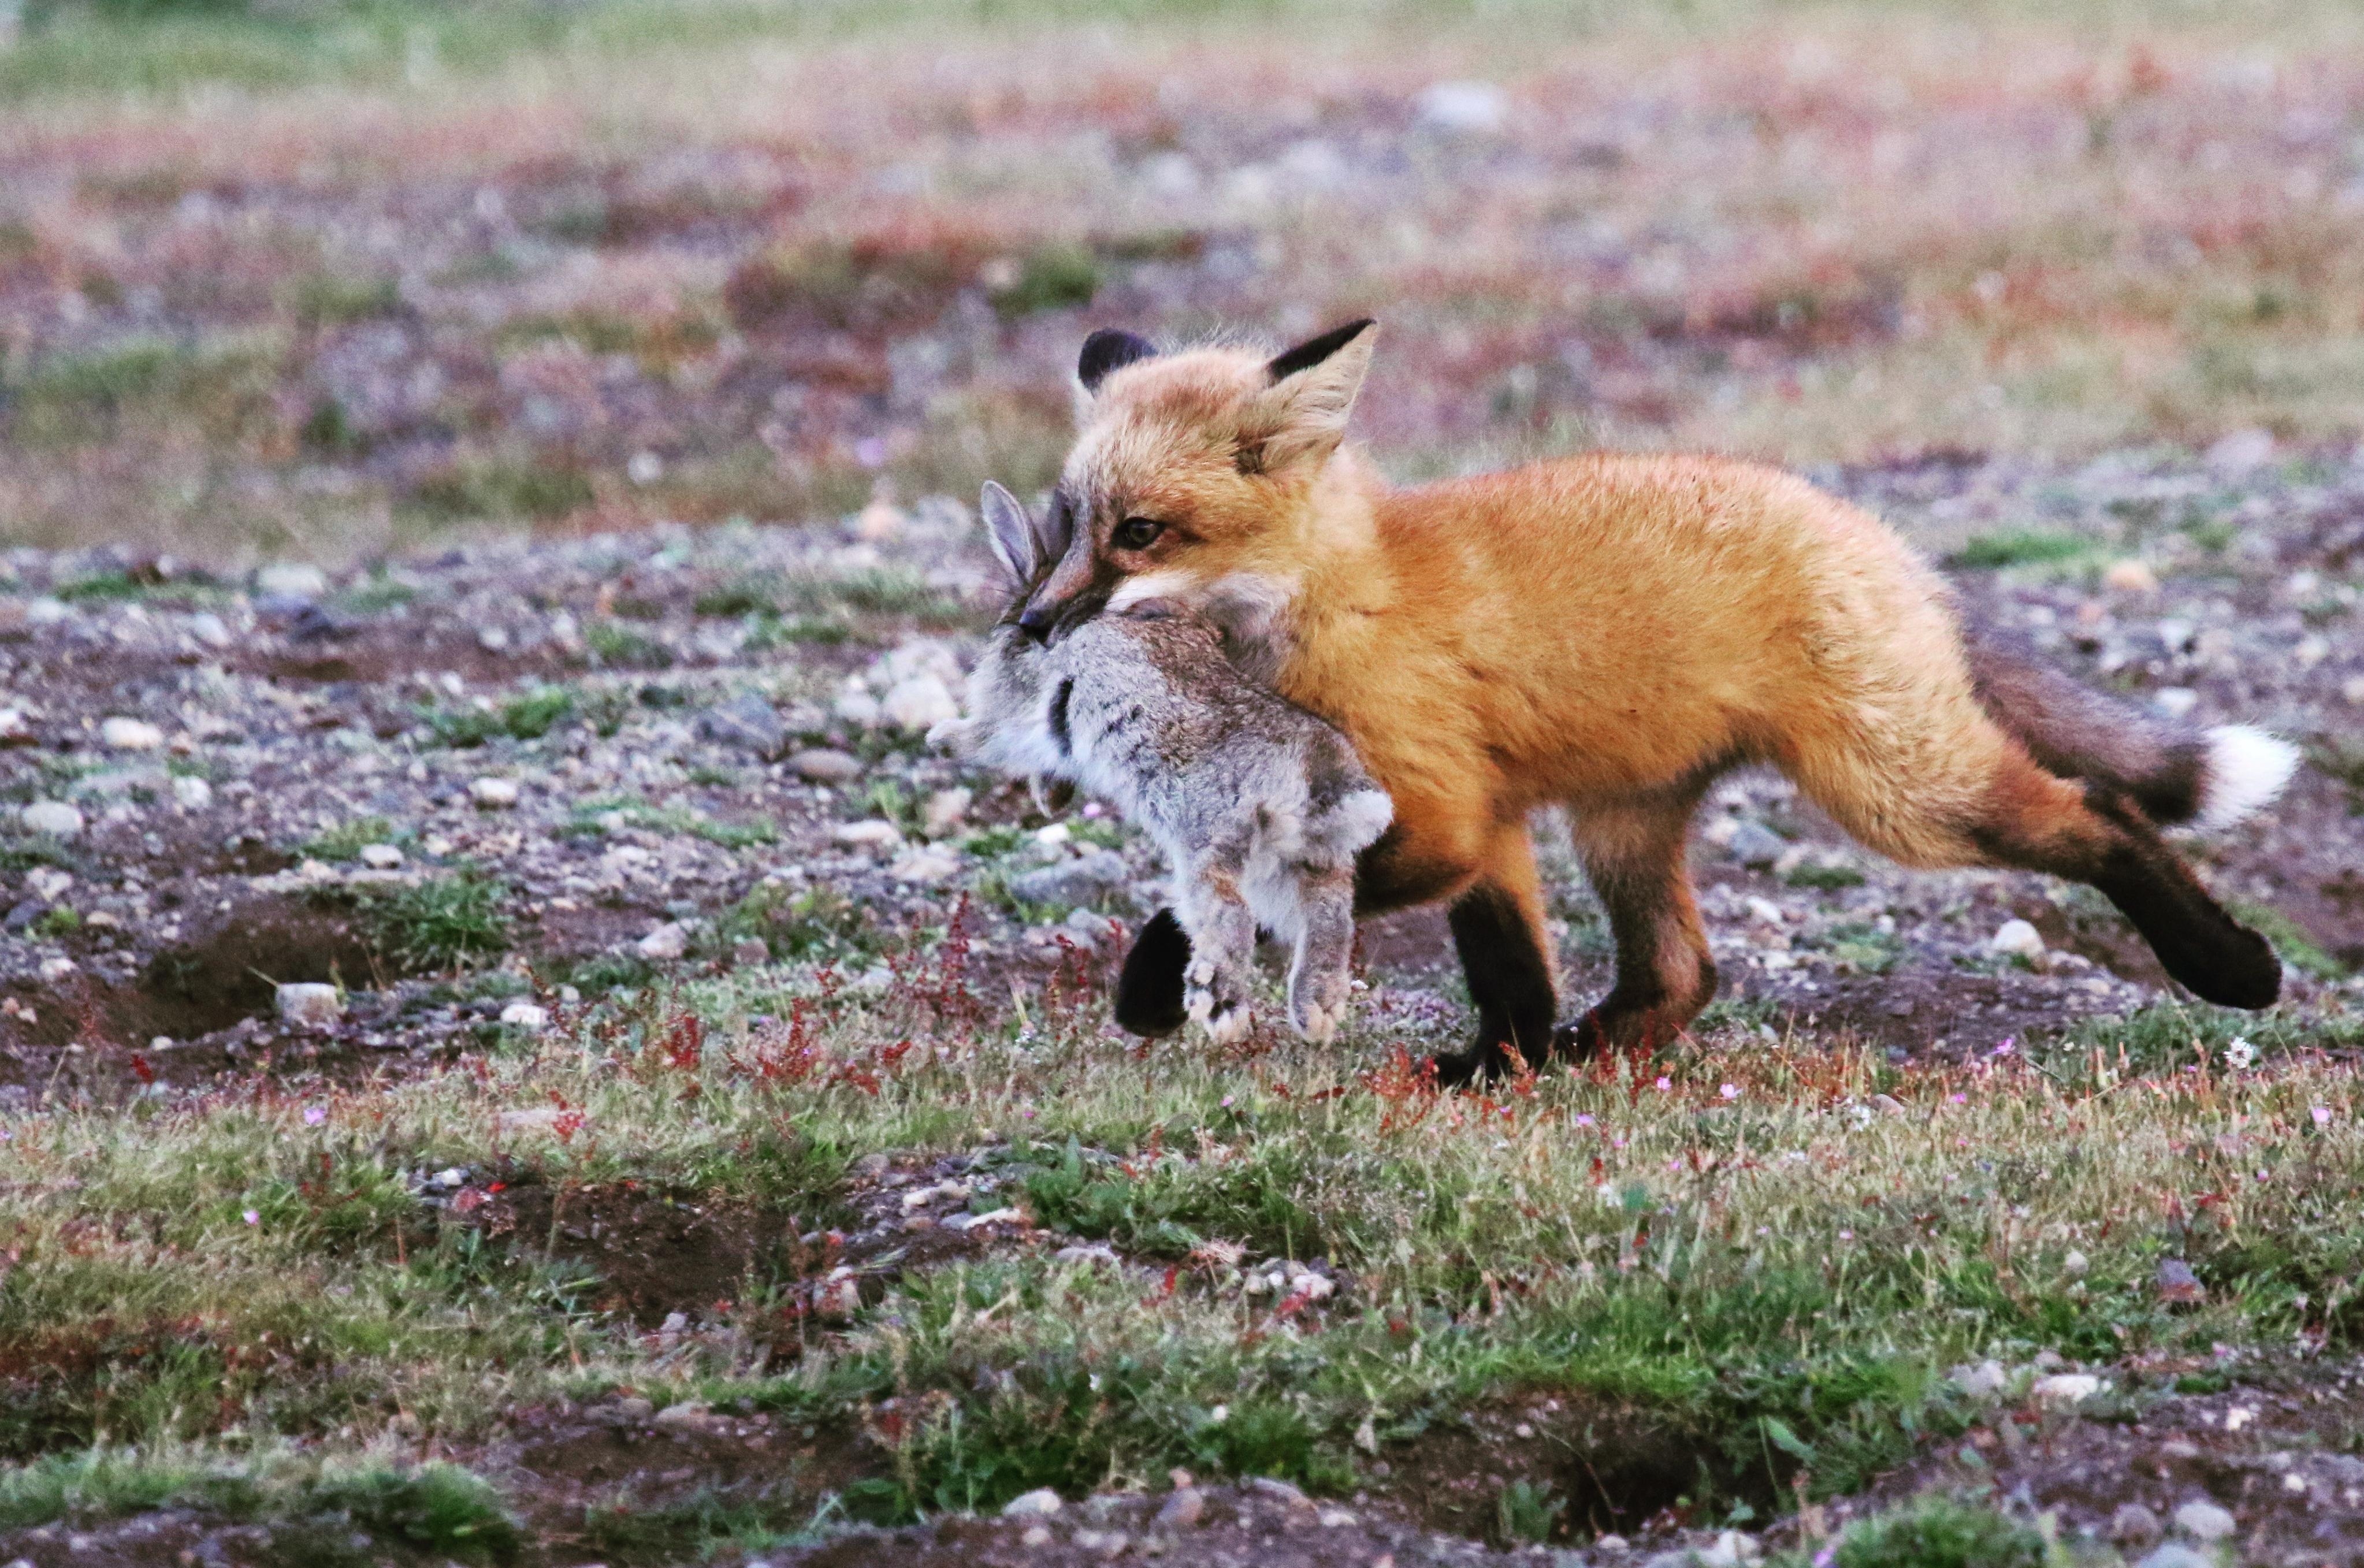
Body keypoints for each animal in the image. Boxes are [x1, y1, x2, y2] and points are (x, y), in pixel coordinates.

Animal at [1025, 319, 2298, 1078]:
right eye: (1069, 523)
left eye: (1142, 533)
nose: (1033, 624)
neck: (1343, 599)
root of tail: (1880, 538)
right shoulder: (1489, 822)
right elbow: (1510, 970)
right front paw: (1499, 1067)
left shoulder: (1440, 814)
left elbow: (1248, 898)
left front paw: (1158, 984)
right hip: (1623, 821)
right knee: (1682, 971)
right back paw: (1586, 1049)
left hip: (1899, 798)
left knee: (2099, 817)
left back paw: (2234, 966)